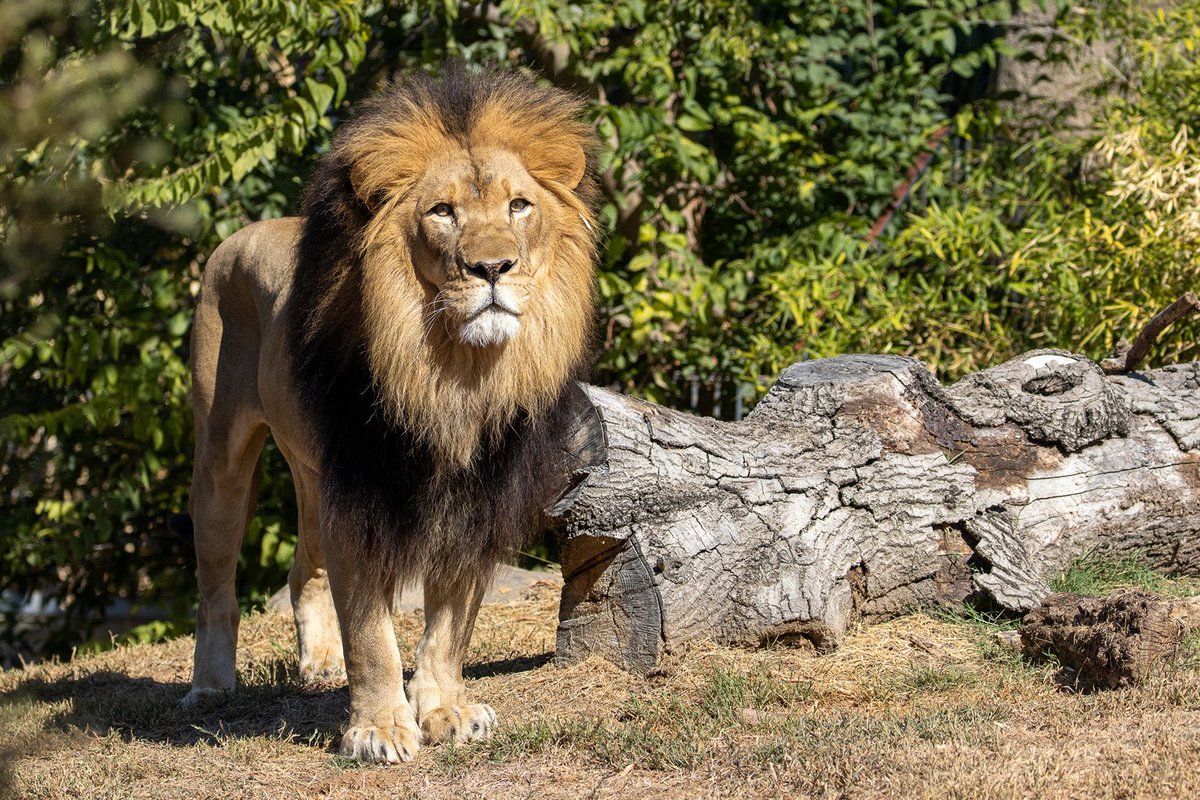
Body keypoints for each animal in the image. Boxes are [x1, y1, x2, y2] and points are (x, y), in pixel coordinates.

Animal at [178, 67, 599, 764]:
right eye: (442, 212)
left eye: (519, 206)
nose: (492, 267)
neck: (453, 374)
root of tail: (240, 235)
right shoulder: (360, 494)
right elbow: (372, 633)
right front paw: (378, 728)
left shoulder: (475, 493)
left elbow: (452, 624)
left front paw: (446, 710)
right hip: (221, 461)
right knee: (216, 591)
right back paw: (210, 688)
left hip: (311, 474)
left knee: (305, 568)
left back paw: (320, 661)